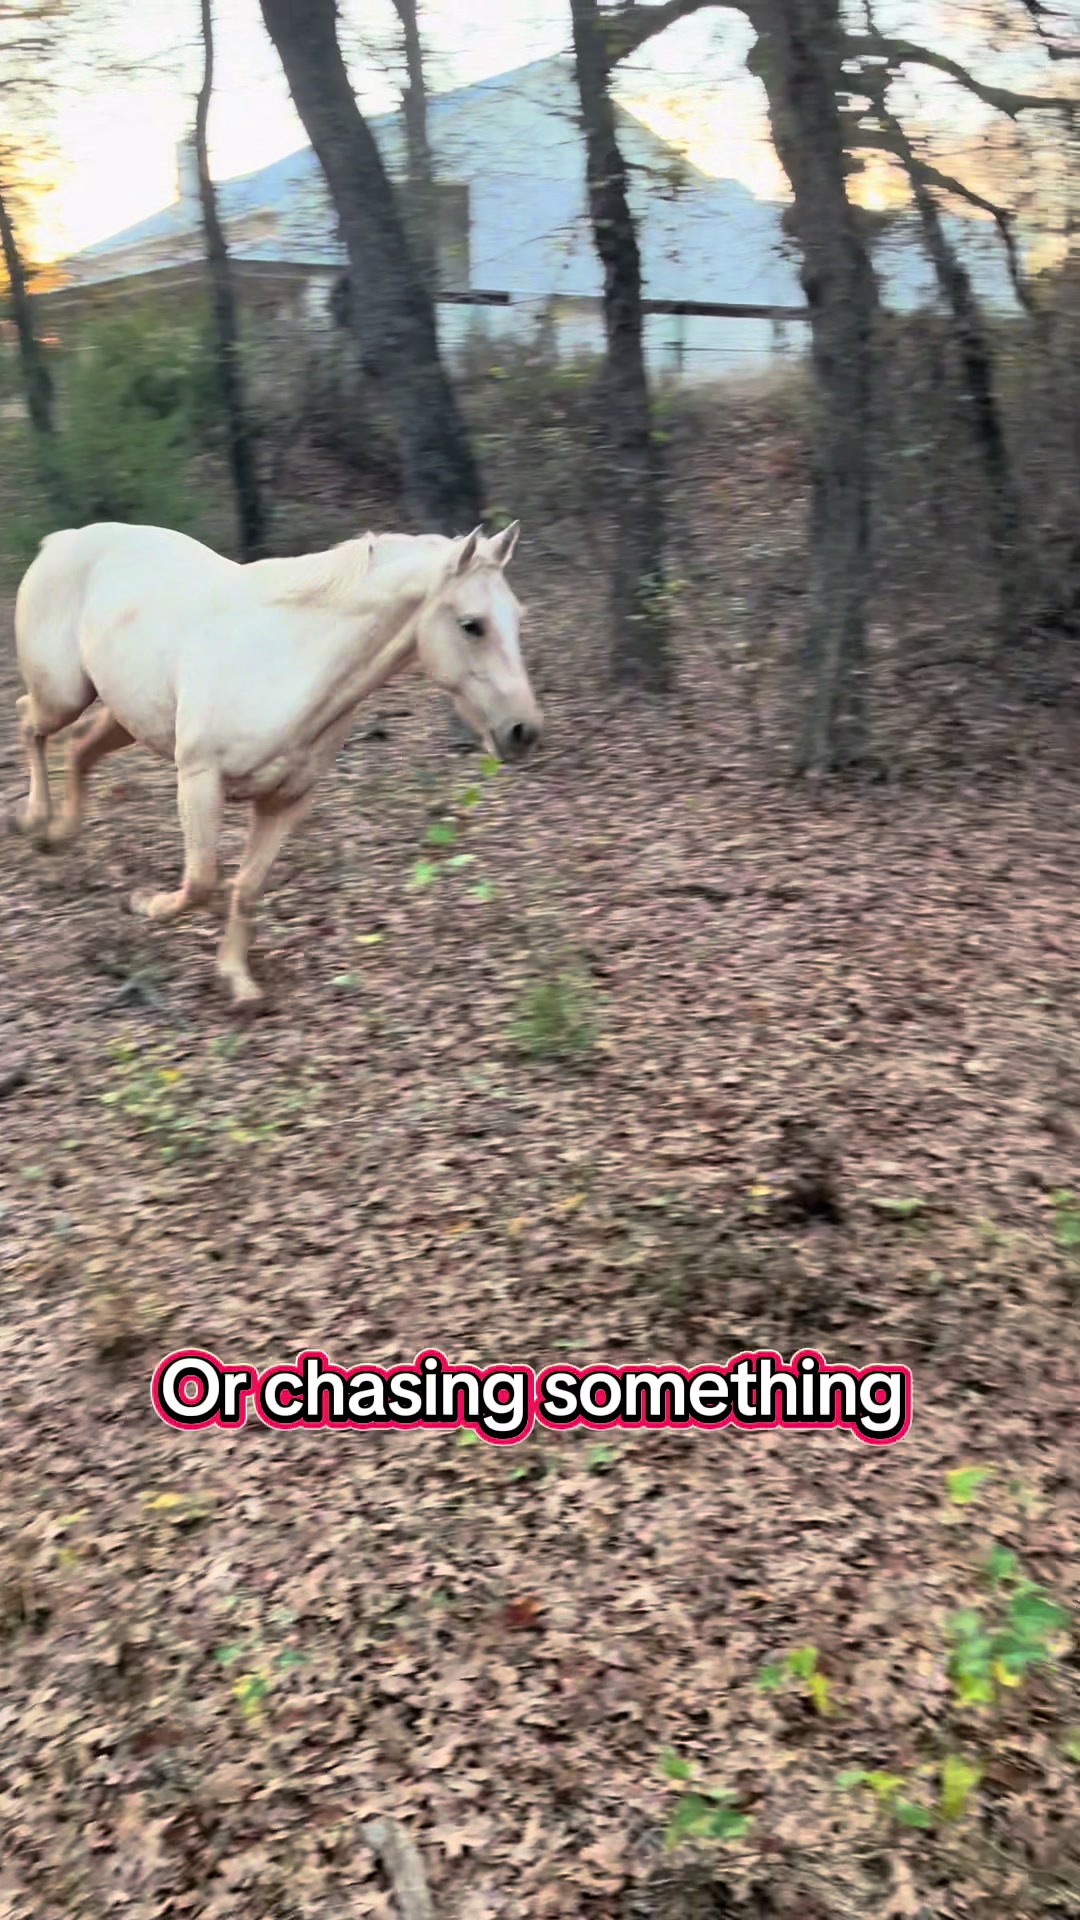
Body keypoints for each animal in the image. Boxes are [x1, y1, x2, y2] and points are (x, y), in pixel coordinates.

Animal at [11, 518, 540, 1005]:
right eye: (472, 624)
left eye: (517, 616)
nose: (524, 731)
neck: (290, 661)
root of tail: (63, 540)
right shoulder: (199, 779)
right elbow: (202, 880)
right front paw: (148, 905)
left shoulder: (284, 801)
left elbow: (246, 889)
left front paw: (237, 982)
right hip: (64, 695)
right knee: (28, 722)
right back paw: (34, 821)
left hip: (126, 717)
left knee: (76, 748)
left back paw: (58, 835)